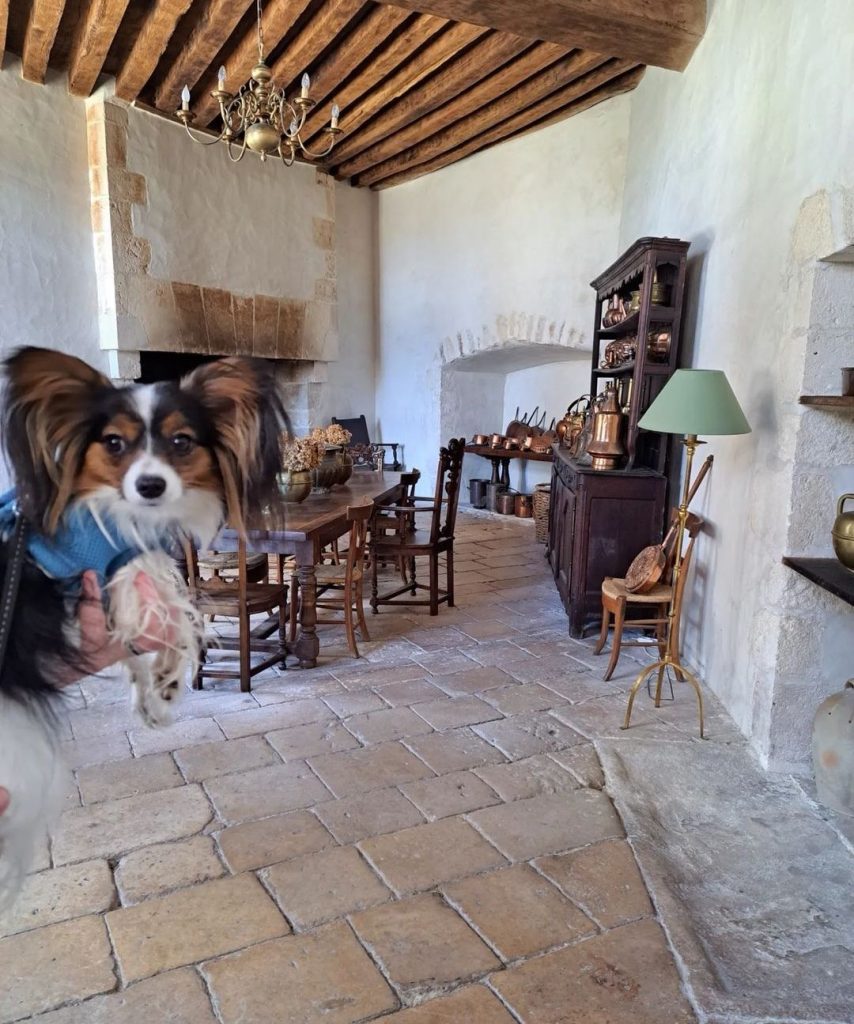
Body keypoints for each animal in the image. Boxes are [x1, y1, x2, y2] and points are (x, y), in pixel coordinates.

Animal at [0, 348, 288, 909]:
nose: (150, 485)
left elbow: (147, 640)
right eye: (114, 443)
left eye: (182, 442)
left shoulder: (121, 577)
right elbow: (175, 617)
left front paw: (156, 696)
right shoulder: (116, 571)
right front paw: (170, 679)